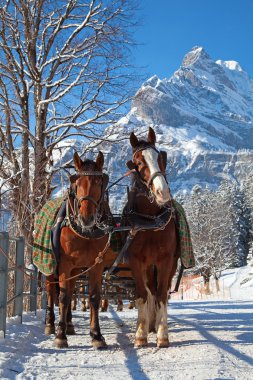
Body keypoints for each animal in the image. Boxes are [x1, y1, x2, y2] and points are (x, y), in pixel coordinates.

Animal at [45, 151, 114, 348]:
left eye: (99, 181)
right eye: (75, 182)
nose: (86, 218)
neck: (85, 233)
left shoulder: (96, 265)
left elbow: (93, 297)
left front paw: (96, 335)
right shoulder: (64, 265)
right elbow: (63, 297)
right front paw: (60, 336)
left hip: (75, 270)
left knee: (70, 289)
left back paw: (68, 324)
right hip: (49, 266)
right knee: (51, 291)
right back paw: (50, 324)